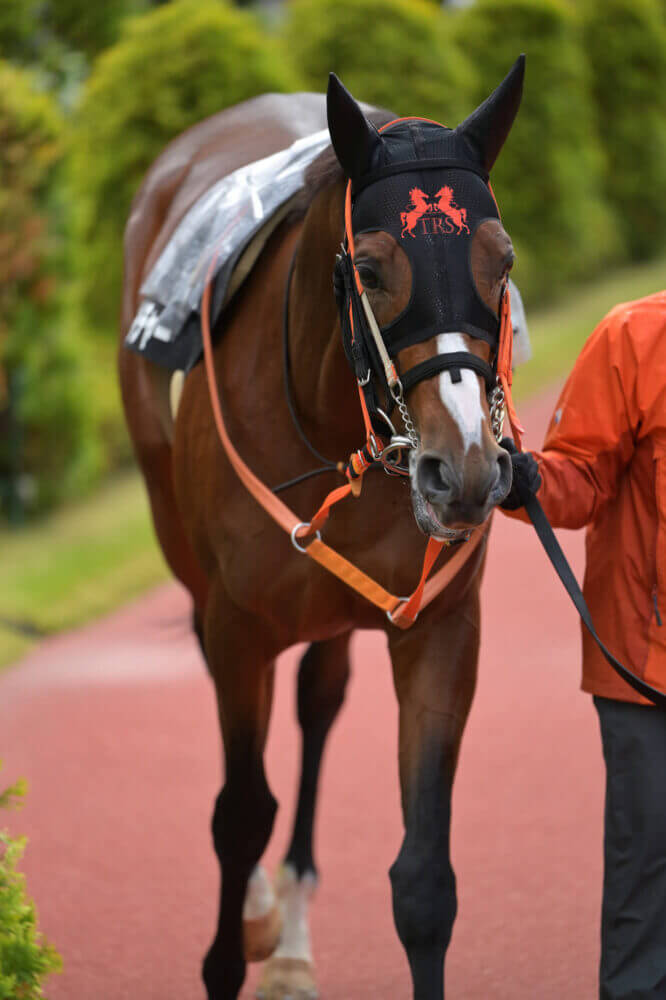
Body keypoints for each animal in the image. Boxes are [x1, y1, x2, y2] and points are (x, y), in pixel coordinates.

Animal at [119, 60, 524, 1000]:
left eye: (502, 260)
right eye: (370, 269)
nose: (464, 470)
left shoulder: (441, 624)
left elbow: (424, 880)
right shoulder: (238, 624)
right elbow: (239, 813)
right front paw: (234, 944)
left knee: (318, 699)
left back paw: (294, 934)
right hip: (186, 550)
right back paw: (266, 912)